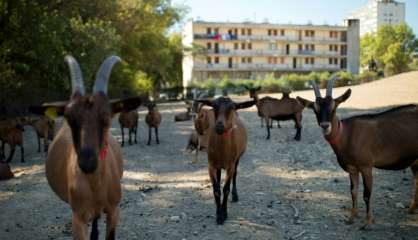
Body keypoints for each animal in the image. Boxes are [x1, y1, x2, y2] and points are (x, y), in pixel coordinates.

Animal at [29, 55, 142, 238]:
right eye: (69, 117)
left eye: (107, 117)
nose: (87, 161)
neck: (95, 185)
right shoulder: (78, 216)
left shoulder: (114, 210)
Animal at [197, 96, 255, 224]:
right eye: (214, 106)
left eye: (232, 107)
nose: (219, 126)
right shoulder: (211, 166)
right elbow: (216, 190)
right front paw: (218, 214)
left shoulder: (230, 166)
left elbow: (226, 189)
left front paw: (224, 214)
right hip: (218, 165)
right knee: (218, 180)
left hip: (237, 159)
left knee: (235, 175)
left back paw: (235, 196)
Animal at [298, 79, 418, 231]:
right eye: (315, 109)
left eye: (334, 107)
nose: (325, 126)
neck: (347, 134)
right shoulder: (352, 168)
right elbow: (353, 191)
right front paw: (351, 217)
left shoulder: (366, 166)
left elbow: (366, 194)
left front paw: (368, 223)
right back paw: (412, 209)